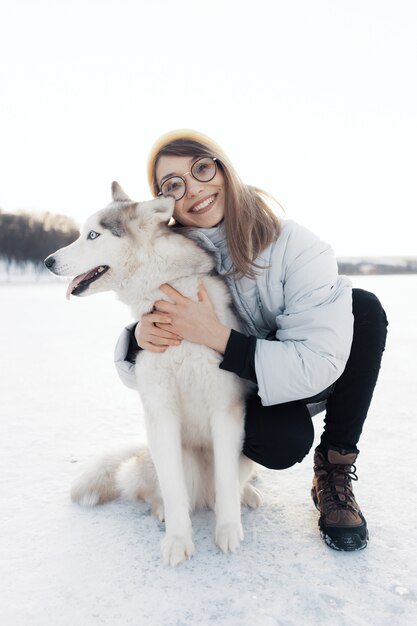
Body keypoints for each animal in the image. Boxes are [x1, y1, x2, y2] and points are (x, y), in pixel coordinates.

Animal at [44, 182, 260, 564]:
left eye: (93, 235)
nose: (48, 262)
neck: (170, 291)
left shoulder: (226, 411)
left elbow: (226, 483)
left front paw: (227, 530)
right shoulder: (160, 412)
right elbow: (173, 490)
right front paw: (178, 540)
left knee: (230, 483)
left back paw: (245, 495)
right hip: (157, 457)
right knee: (156, 489)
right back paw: (161, 509)